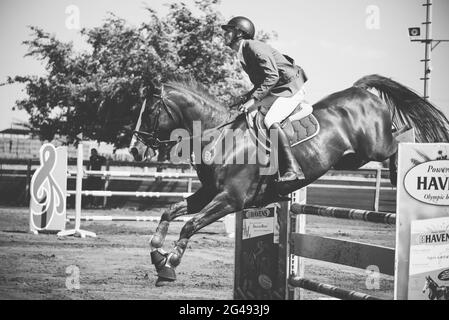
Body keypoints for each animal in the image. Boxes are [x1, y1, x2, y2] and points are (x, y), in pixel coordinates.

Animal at [127, 74, 448, 284]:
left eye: (150, 110)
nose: (134, 150)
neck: (219, 136)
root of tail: (360, 91)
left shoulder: (230, 199)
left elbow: (190, 225)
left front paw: (169, 266)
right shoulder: (208, 194)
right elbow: (170, 212)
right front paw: (156, 253)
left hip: (375, 147)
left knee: (400, 138)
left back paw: (409, 162)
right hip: (352, 157)